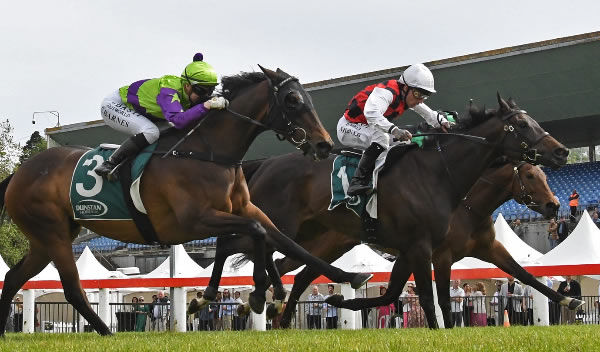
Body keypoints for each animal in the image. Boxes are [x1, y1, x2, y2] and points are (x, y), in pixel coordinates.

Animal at [0, 66, 376, 336]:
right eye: (292, 101)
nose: (323, 144)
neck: (208, 152)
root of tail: (18, 174)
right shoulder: (194, 220)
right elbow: (256, 233)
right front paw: (257, 292)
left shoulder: (244, 208)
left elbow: (281, 240)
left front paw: (346, 275)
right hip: (53, 233)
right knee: (72, 288)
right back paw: (106, 331)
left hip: (47, 238)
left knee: (16, 277)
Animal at [205, 94, 568, 328]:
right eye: (522, 124)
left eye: (543, 175)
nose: (562, 151)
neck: (441, 176)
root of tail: (262, 165)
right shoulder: (429, 250)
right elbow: (431, 299)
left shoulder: (431, 249)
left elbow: (522, 274)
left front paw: (569, 300)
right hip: (281, 224)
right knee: (238, 243)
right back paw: (231, 300)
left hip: (313, 238)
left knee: (289, 266)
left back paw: (272, 308)